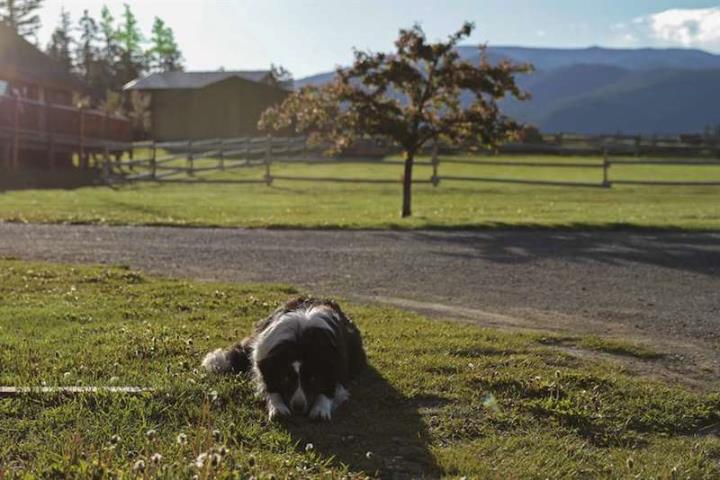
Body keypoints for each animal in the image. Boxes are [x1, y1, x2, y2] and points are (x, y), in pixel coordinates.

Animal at [201, 296, 366, 420]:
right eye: (286, 378)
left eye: (313, 379)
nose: (298, 407)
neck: (300, 343)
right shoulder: (264, 357)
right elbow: (270, 386)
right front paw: (277, 406)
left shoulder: (336, 363)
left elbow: (329, 387)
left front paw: (321, 408)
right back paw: (217, 361)